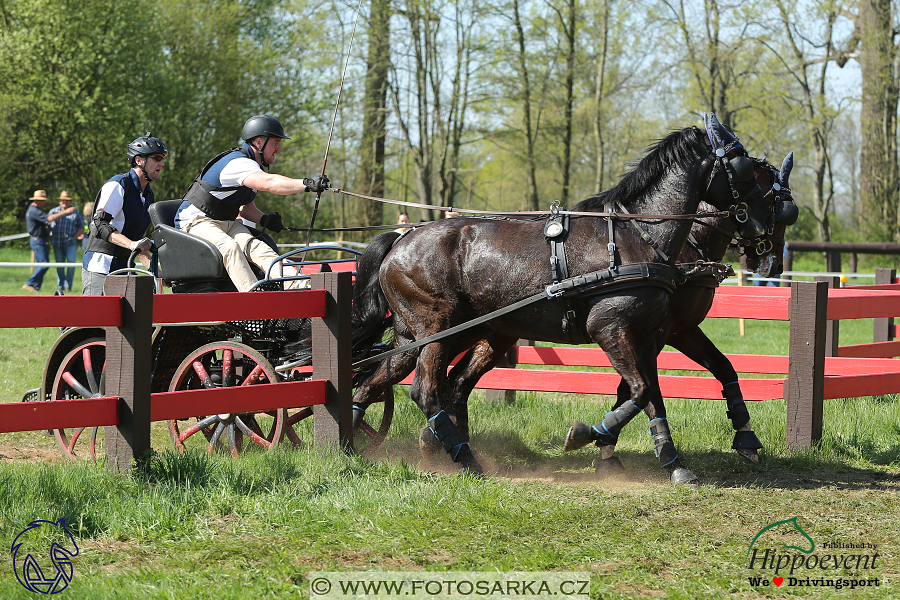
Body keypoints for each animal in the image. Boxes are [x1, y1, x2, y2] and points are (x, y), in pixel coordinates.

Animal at [348, 117, 768, 482]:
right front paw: (586, 435)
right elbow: (642, 390)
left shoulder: (650, 334)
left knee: (377, 383)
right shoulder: (610, 329)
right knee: (426, 391)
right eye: (746, 169)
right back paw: (464, 457)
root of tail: (401, 239)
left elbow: (649, 392)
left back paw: (352, 448)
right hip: (437, 331)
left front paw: (672, 460)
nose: (761, 233)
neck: (637, 237)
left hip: (424, 337)